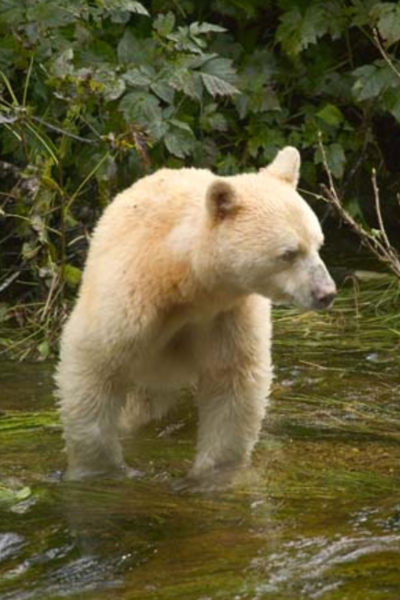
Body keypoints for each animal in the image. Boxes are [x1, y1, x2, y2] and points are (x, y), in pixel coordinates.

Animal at [56, 146, 336, 488]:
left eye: (318, 243)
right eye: (288, 253)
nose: (326, 293)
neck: (182, 280)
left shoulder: (228, 314)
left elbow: (233, 383)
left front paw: (212, 477)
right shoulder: (129, 303)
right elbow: (93, 367)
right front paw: (100, 472)